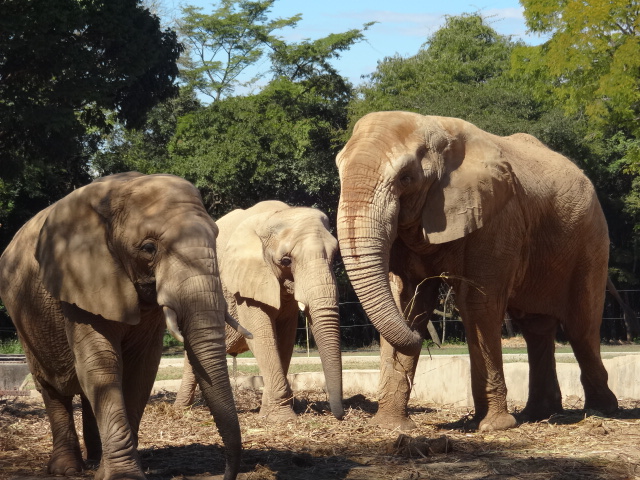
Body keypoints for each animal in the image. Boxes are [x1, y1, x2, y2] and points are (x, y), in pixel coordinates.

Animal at [0, 172, 248, 480]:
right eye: (148, 248)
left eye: (215, 238)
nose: (225, 474)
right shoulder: (80, 279)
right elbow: (101, 364)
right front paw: (122, 475)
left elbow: (140, 369)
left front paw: (111, 471)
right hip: (24, 321)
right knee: (51, 387)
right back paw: (66, 469)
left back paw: (95, 461)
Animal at [175, 201, 344, 422]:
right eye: (286, 261)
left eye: (334, 255)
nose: (339, 415)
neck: (274, 215)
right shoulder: (246, 281)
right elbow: (262, 335)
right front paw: (282, 418)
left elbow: (284, 339)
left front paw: (271, 411)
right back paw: (181, 410)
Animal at [336, 111, 618, 432]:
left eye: (405, 178)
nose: (426, 341)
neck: (434, 127)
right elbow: (407, 302)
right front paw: (390, 427)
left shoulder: (497, 217)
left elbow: (478, 304)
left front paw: (494, 427)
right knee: (536, 328)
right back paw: (539, 414)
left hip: (592, 241)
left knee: (581, 327)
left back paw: (601, 411)